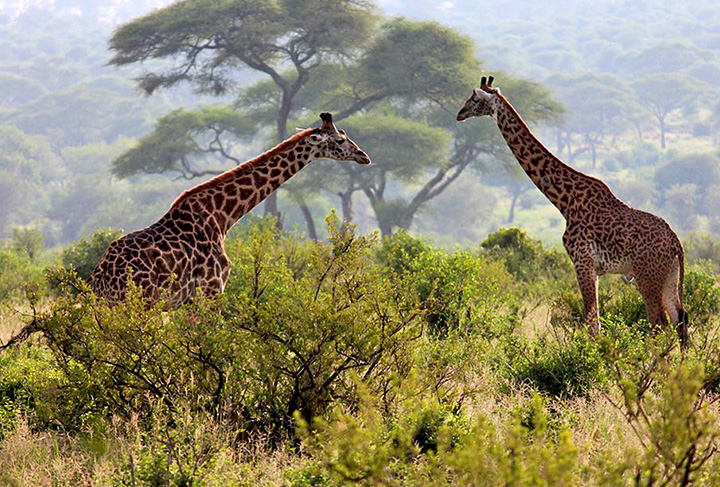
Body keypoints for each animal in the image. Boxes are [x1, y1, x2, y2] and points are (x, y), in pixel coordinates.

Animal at [90, 112, 372, 306]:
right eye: (340, 140)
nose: (364, 156)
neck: (222, 216)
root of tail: (101, 276)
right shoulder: (211, 290)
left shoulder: (188, 300)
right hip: (138, 302)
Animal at [458, 75, 688, 346]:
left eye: (475, 98)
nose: (459, 114)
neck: (565, 202)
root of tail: (676, 243)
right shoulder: (592, 268)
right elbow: (594, 322)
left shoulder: (583, 262)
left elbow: (592, 324)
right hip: (668, 275)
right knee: (680, 319)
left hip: (646, 275)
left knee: (659, 324)